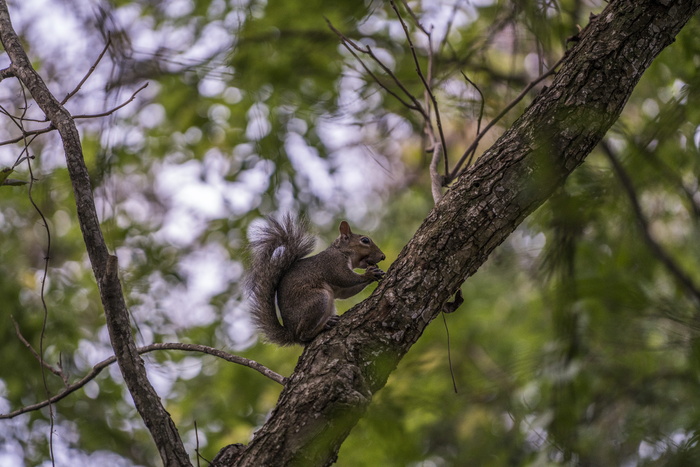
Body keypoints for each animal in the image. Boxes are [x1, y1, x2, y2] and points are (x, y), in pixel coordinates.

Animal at [247, 218, 388, 346]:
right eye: (365, 240)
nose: (383, 257)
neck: (341, 251)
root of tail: (291, 333)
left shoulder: (339, 288)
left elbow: (346, 292)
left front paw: (375, 273)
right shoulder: (332, 264)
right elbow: (345, 278)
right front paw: (369, 274)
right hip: (317, 299)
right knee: (303, 334)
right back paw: (323, 326)